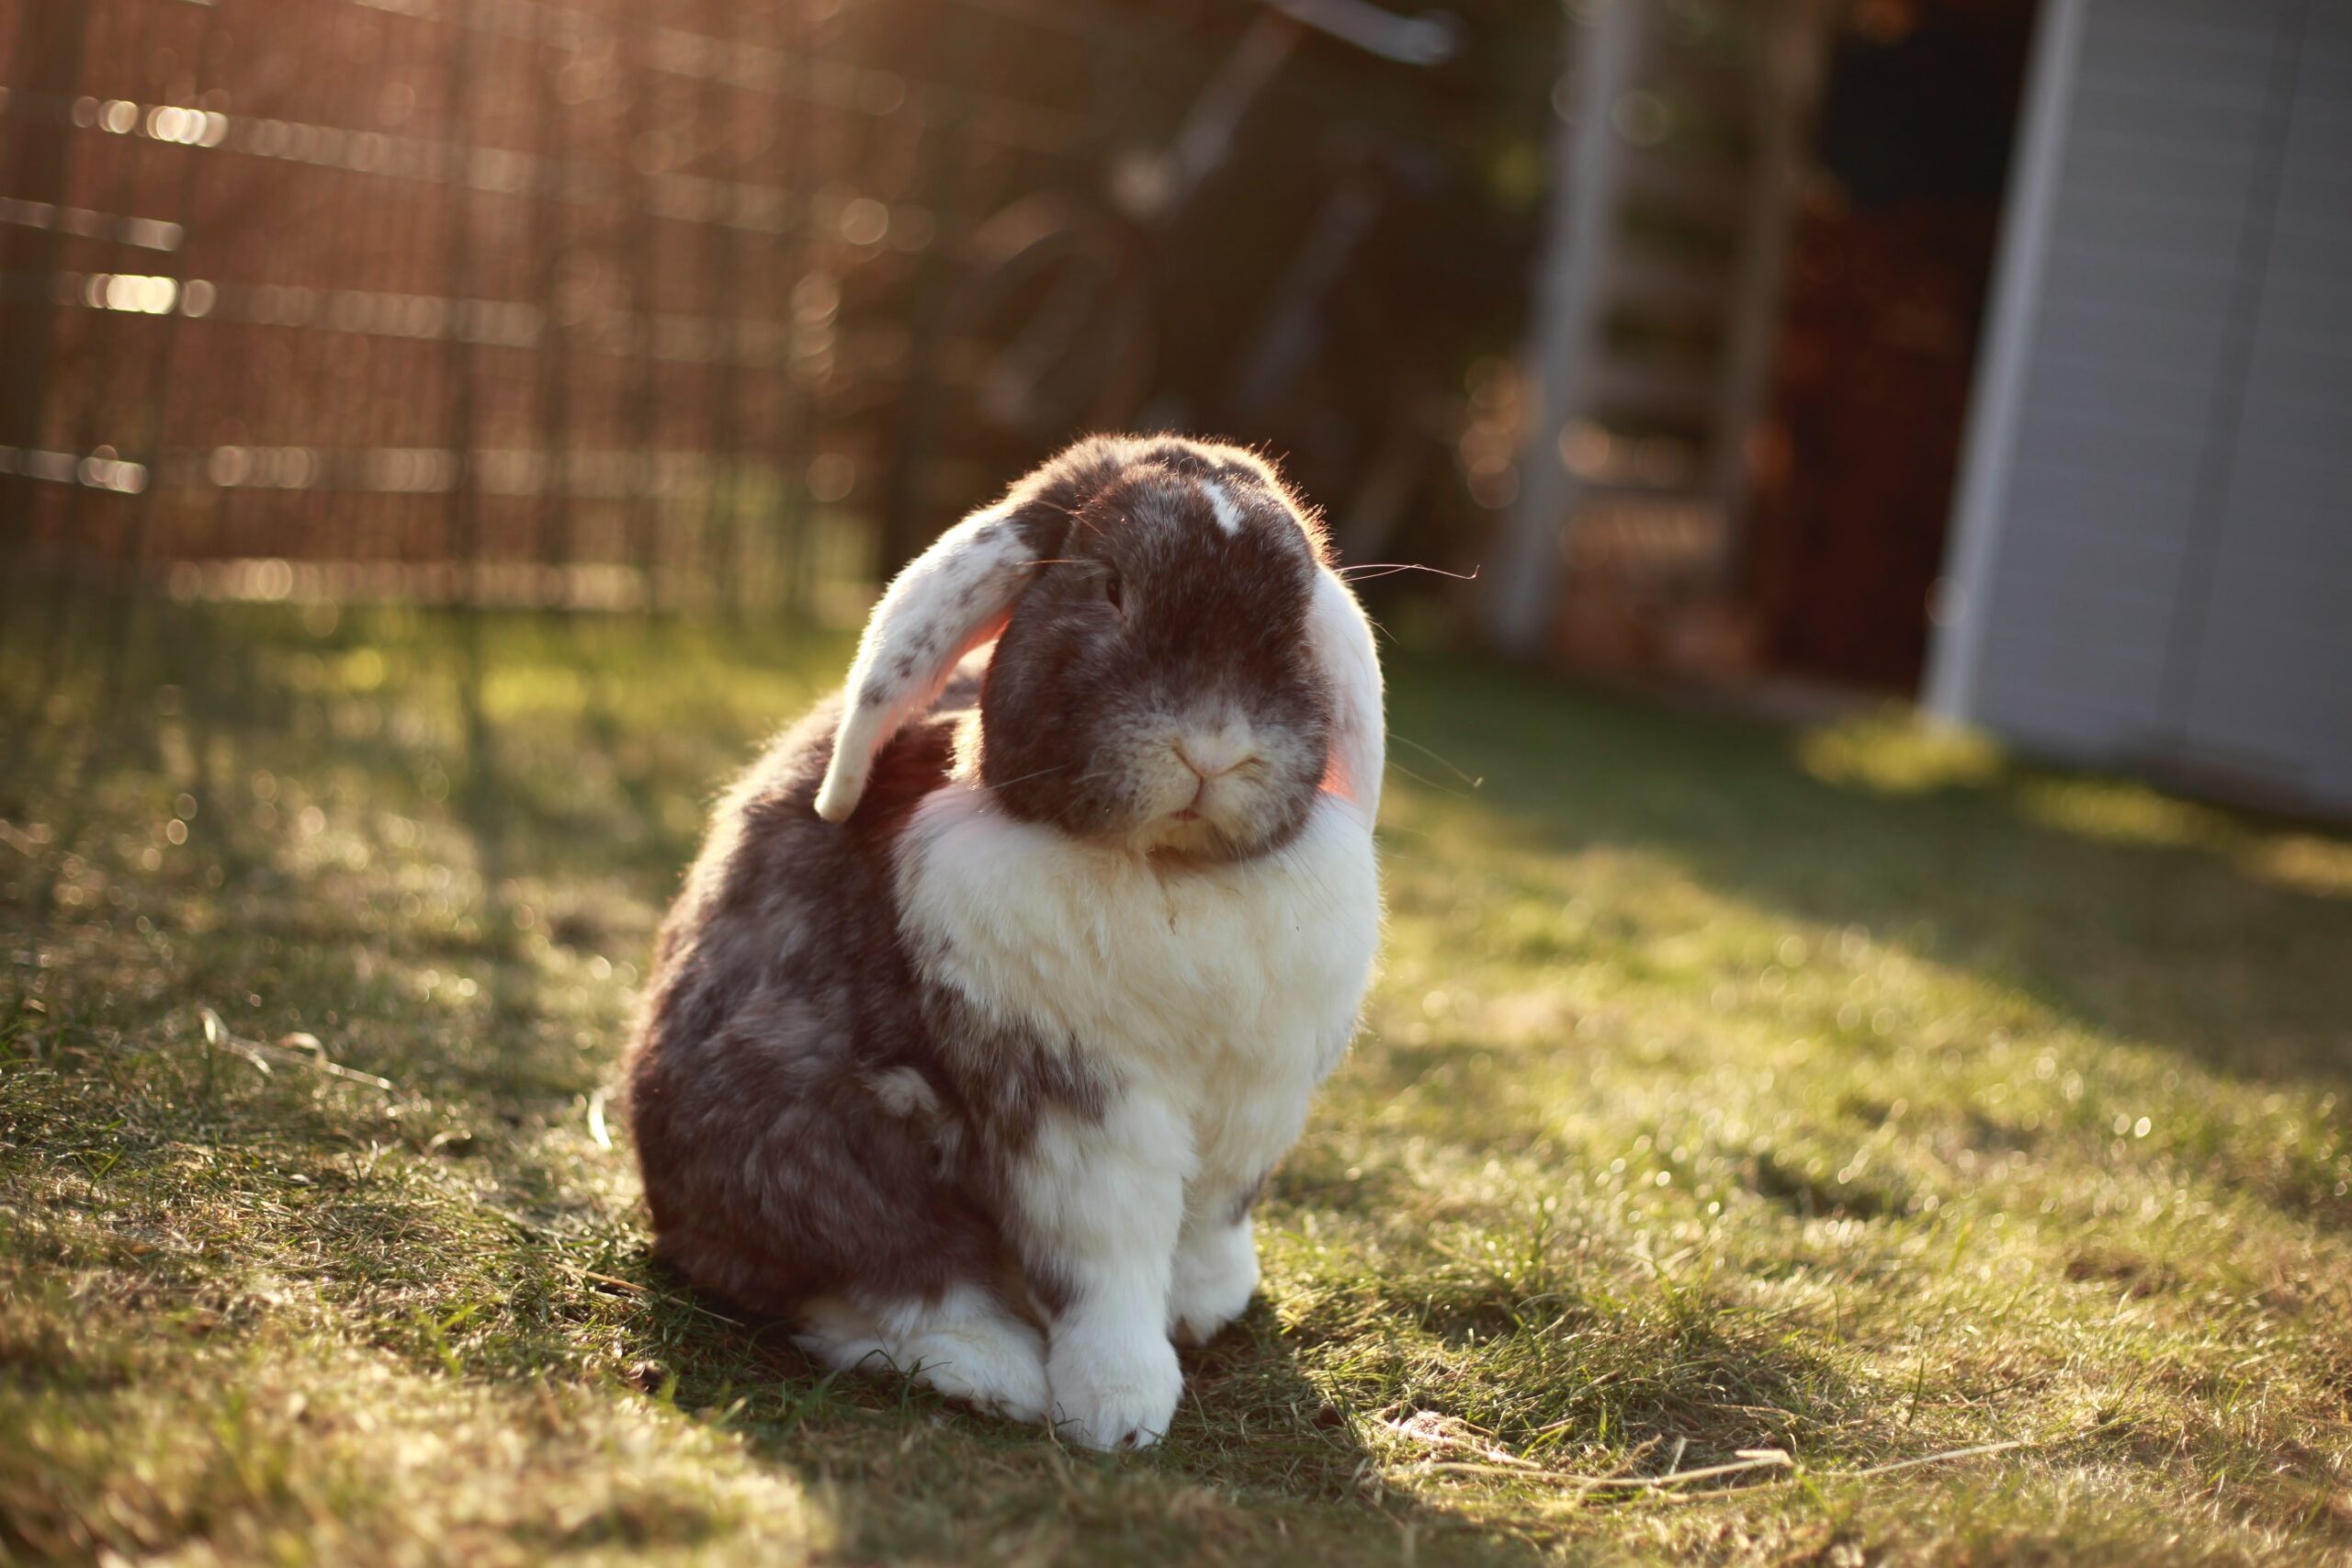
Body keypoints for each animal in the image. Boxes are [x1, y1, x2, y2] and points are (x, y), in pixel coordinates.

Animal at [620, 434, 1374, 1457]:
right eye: (1109, 587)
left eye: (1296, 617)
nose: (1213, 746)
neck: (1169, 873)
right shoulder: (1068, 1101)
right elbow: (1105, 1260)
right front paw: (1120, 1410)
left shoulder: (1250, 1106)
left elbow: (1210, 1221)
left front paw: (1207, 1309)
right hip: (804, 1143)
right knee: (876, 1285)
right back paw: (996, 1372)